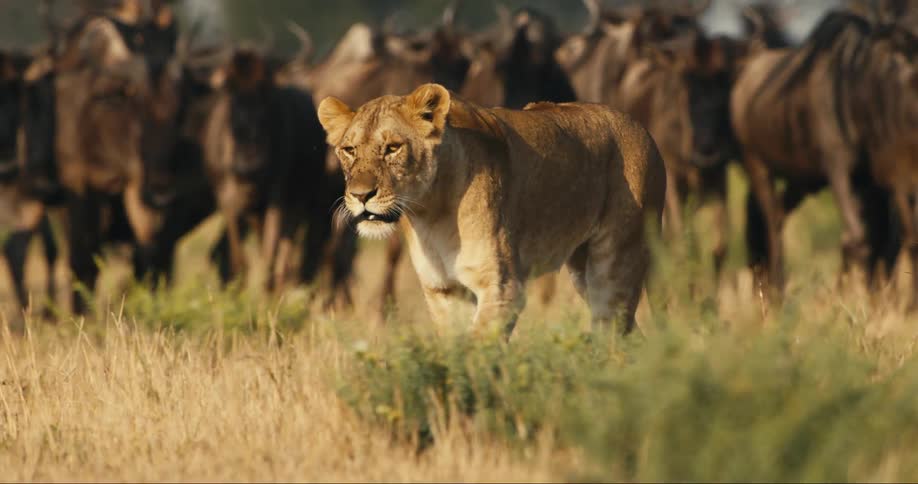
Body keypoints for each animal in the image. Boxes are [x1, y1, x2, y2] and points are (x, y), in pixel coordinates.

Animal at [317, 84, 665, 335]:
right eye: (349, 150)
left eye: (392, 148)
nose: (361, 195)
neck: (431, 212)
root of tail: (643, 130)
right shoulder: (444, 290)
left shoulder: (502, 288)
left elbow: (477, 350)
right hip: (583, 270)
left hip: (616, 263)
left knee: (614, 330)